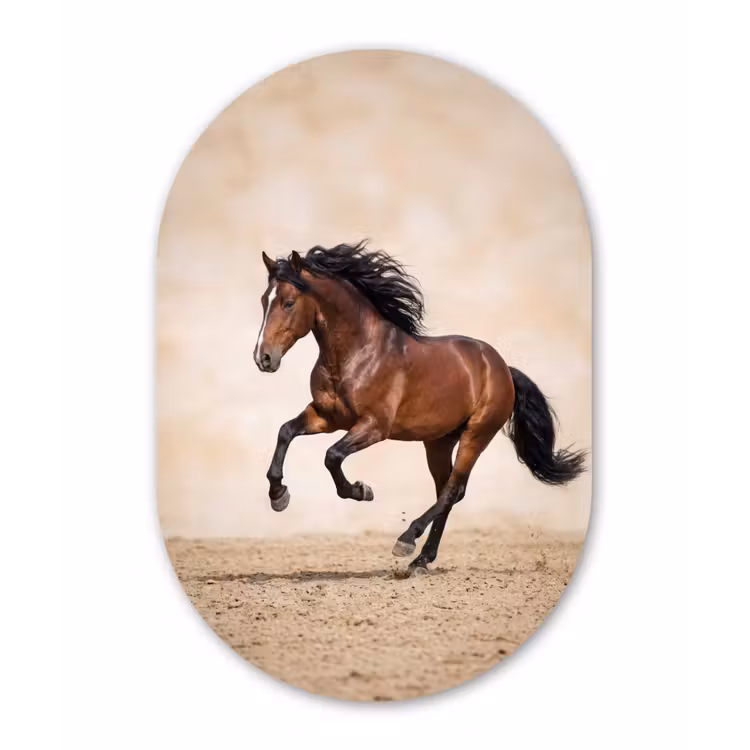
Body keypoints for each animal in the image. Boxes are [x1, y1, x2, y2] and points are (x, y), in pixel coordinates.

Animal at [253, 242, 586, 574]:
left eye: (288, 302)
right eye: (263, 300)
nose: (263, 358)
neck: (357, 352)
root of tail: (503, 368)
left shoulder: (374, 426)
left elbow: (332, 456)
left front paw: (361, 491)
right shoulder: (326, 417)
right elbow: (286, 432)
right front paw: (279, 496)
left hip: (476, 434)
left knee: (452, 490)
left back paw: (406, 541)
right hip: (438, 442)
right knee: (448, 491)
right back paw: (422, 560)